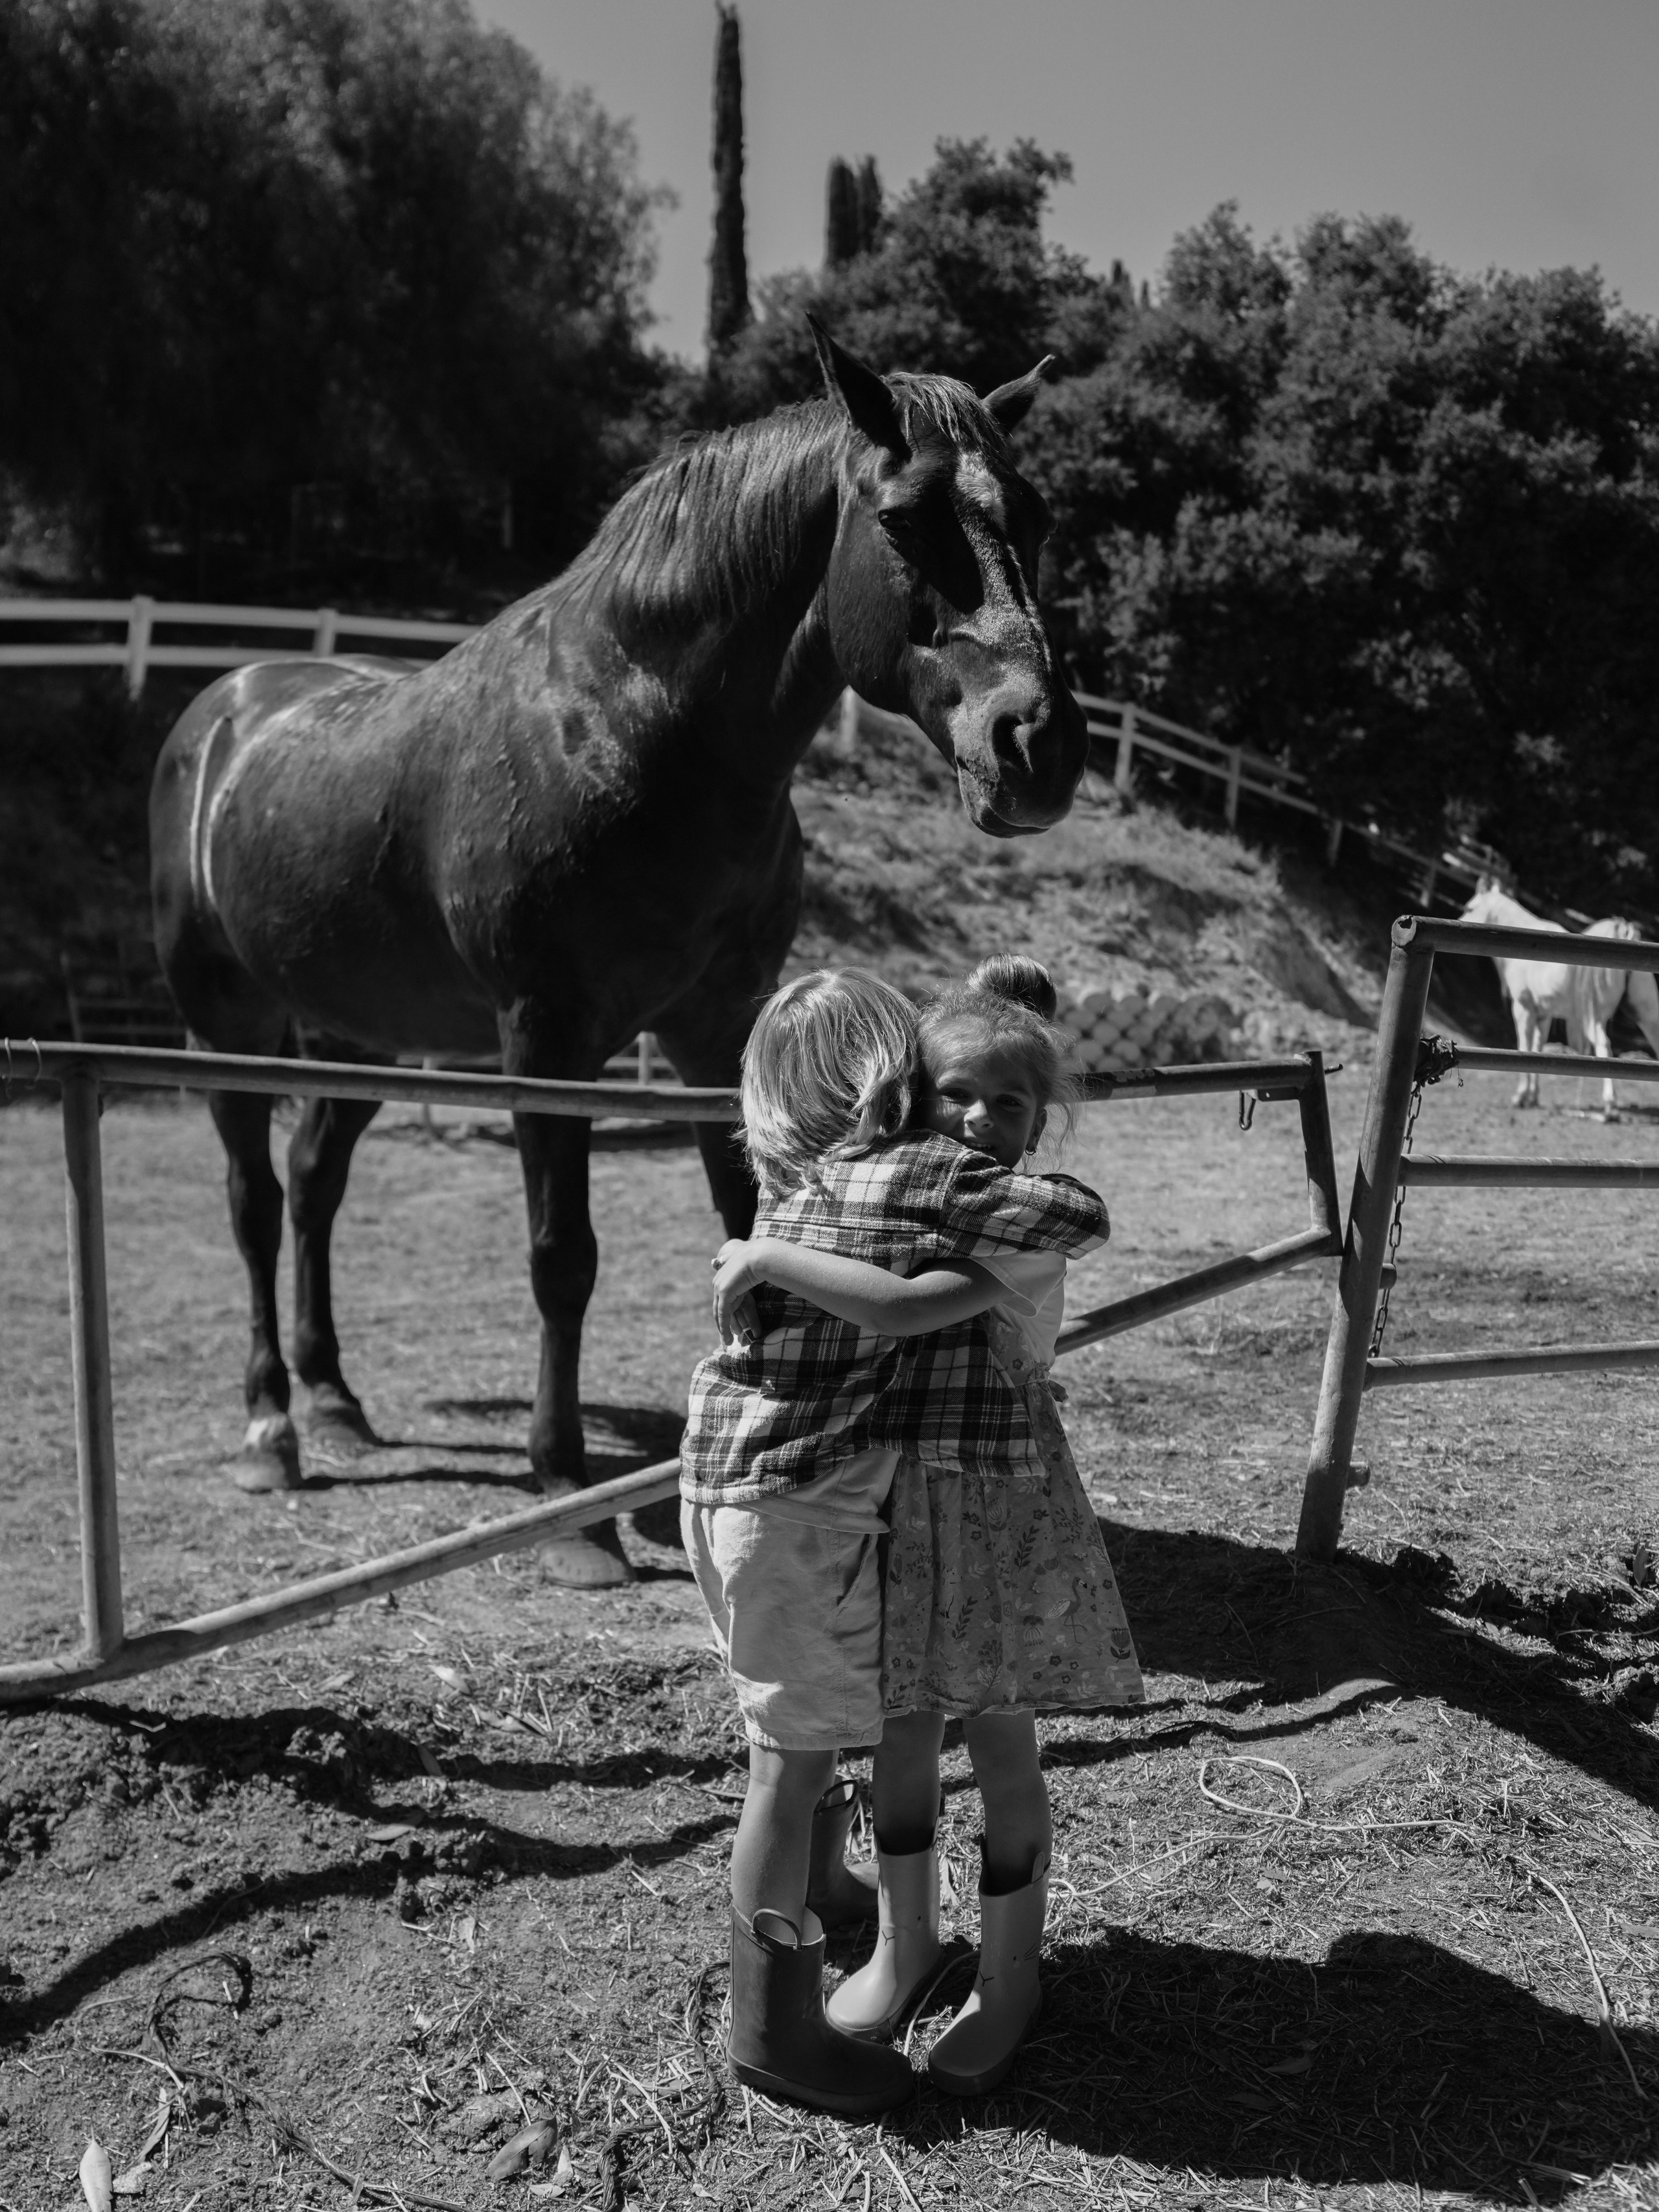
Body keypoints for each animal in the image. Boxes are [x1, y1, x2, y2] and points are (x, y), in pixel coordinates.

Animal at [149, 321, 1088, 1585]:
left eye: (1034, 518)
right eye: (901, 521)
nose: (1040, 744)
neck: (633, 730)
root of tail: (224, 711)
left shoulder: (714, 1029)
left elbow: (753, 1219)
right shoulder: (547, 1041)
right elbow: (563, 1257)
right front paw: (571, 1503)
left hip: (369, 1037)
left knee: (312, 1185)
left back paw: (335, 1398)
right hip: (228, 1024)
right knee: (253, 1200)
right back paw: (271, 1429)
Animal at [1459, 879, 1659, 1113]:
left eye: (1469, 908)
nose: (1459, 921)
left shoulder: (1524, 1010)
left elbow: (1524, 1048)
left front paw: (1521, 1096)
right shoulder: (1544, 1015)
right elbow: (1537, 1050)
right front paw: (1533, 1096)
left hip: (1593, 1020)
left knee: (1604, 1046)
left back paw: (1610, 1105)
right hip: (1647, 1017)